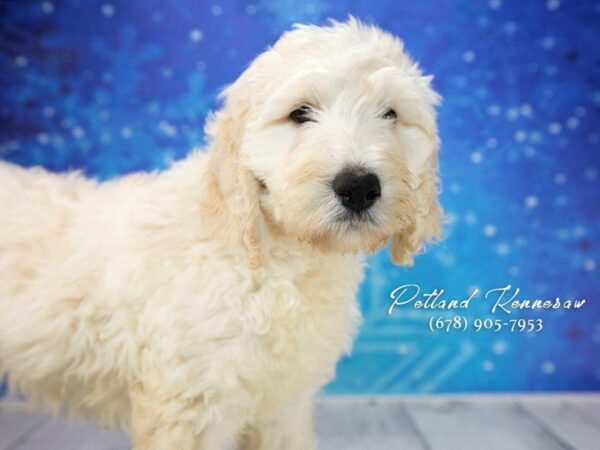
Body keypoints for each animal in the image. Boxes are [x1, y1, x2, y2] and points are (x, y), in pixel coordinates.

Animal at [0, 18, 440, 450]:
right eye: (300, 113)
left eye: (390, 114)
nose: (359, 187)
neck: (273, 259)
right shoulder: (190, 404)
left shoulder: (282, 405)